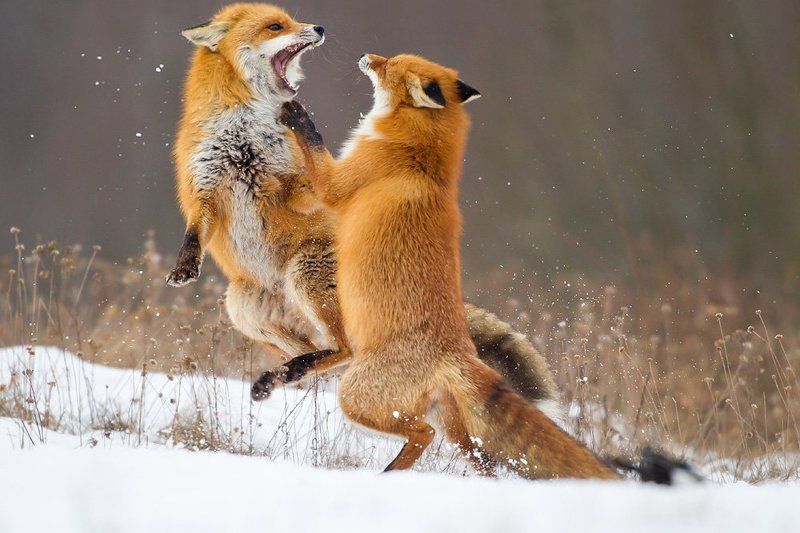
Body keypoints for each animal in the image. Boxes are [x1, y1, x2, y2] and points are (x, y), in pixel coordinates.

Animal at [168, 3, 561, 413]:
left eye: (291, 20)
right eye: (275, 26)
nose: (319, 28)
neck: (245, 136)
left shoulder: (299, 185)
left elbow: (302, 184)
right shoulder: (205, 185)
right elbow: (195, 229)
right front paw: (184, 266)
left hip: (305, 273)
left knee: (345, 350)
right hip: (243, 308)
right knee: (317, 353)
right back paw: (280, 376)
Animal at [278, 53, 620, 479]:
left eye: (388, 65)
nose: (367, 56)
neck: (420, 155)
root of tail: (458, 352)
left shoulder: (336, 185)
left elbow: (313, 147)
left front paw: (297, 114)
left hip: (357, 396)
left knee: (421, 433)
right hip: (457, 428)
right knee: (479, 460)